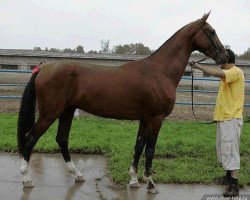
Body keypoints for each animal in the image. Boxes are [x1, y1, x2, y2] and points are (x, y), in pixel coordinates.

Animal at [17, 12, 229, 192]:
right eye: (212, 31)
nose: (225, 56)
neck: (160, 71)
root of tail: (43, 69)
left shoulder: (145, 119)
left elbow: (139, 146)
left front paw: (134, 180)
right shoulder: (156, 118)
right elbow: (150, 149)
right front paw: (150, 183)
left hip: (67, 110)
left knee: (62, 139)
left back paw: (77, 174)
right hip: (50, 114)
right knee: (30, 138)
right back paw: (26, 179)